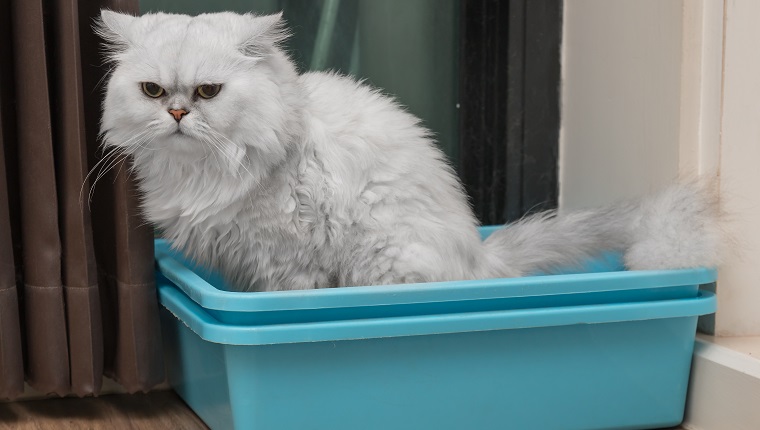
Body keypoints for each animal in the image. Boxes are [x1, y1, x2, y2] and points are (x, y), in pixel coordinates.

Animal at [95, 10, 724, 292]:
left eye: (208, 92)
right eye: (153, 92)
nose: (178, 115)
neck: (207, 172)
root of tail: (478, 261)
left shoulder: (287, 265)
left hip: (384, 263)